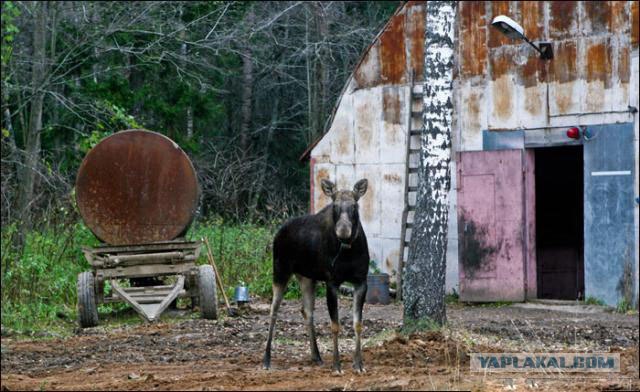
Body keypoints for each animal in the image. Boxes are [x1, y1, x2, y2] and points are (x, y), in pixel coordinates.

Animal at [262, 178, 370, 374]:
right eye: (334, 206)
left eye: (355, 206)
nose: (343, 230)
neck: (348, 251)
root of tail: (278, 233)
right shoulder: (332, 281)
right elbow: (335, 325)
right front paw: (337, 365)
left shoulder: (361, 281)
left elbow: (357, 323)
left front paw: (358, 364)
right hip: (280, 270)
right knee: (273, 311)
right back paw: (266, 359)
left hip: (306, 277)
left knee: (306, 310)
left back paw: (316, 356)